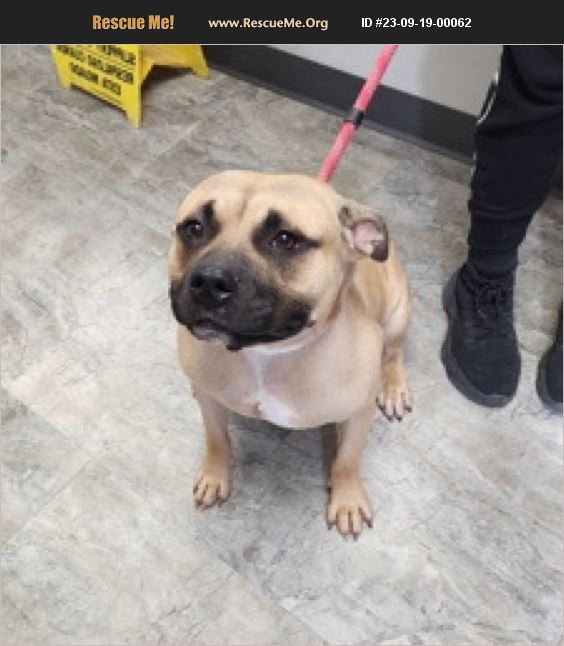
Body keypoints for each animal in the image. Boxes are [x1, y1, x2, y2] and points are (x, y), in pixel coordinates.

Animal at [169, 171, 412, 537]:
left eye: (285, 239)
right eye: (194, 228)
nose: (210, 281)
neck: (265, 355)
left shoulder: (358, 414)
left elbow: (347, 460)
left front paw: (347, 499)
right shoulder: (211, 401)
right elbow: (216, 439)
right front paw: (215, 474)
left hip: (397, 313)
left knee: (394, 352)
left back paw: (394, 386)